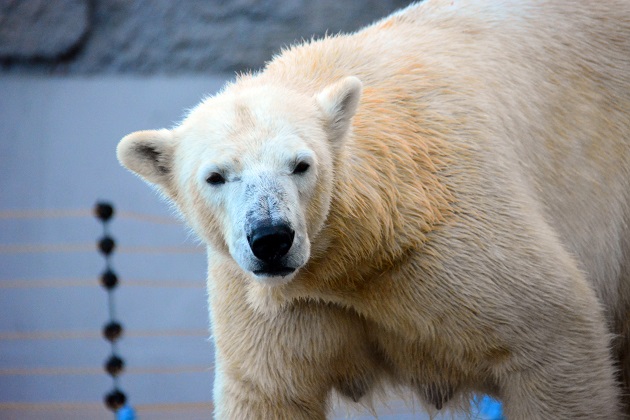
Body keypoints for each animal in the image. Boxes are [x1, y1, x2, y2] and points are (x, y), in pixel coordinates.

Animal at [116, 1, 628, 418]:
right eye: (217, 176)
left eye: (301, 164)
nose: (272, 239)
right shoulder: (271, 299)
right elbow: (268, 390)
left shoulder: (454, 239)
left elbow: (553, 333)